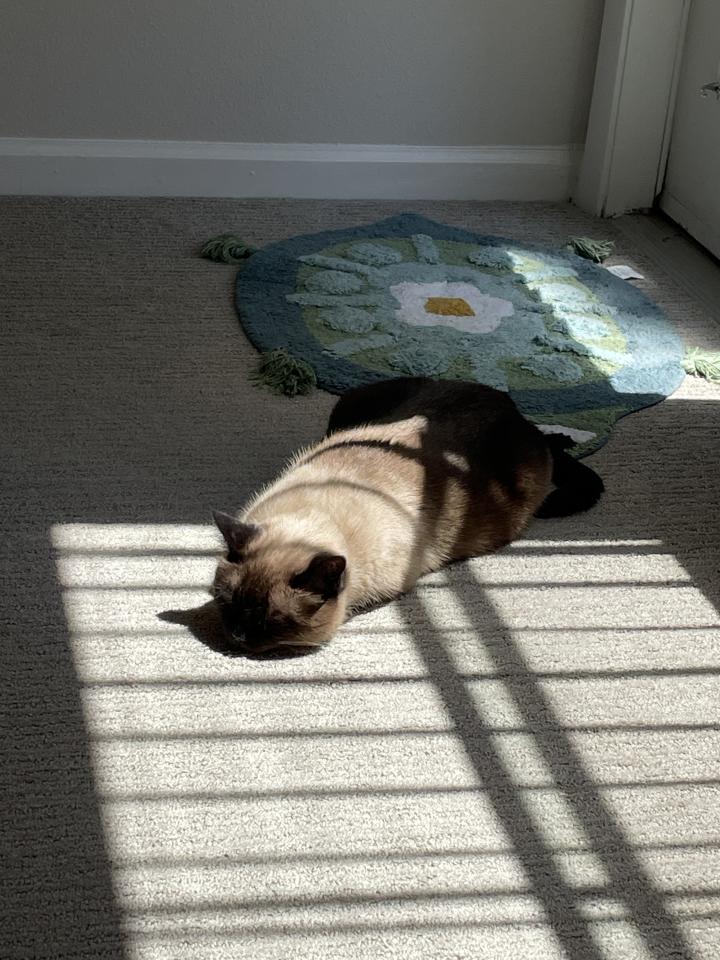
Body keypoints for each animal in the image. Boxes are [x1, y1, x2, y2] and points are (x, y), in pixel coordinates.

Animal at [212, 376, 603, 654]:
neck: (320, 514)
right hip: (346, 407)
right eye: (229, 603)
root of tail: (515, 413)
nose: (238, 636)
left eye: (271, 620)